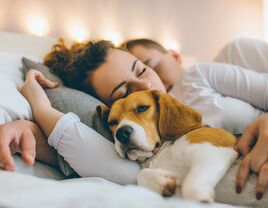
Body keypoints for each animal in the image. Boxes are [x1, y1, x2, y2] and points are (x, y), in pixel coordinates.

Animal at [97, 90, 238, 203]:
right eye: (112, 122)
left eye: (142, 108)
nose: (121, 133)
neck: (161, 153)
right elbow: (141, 174)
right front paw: (161, 182)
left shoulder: (213, 148)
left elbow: (191, 185)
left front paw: (199, 199)